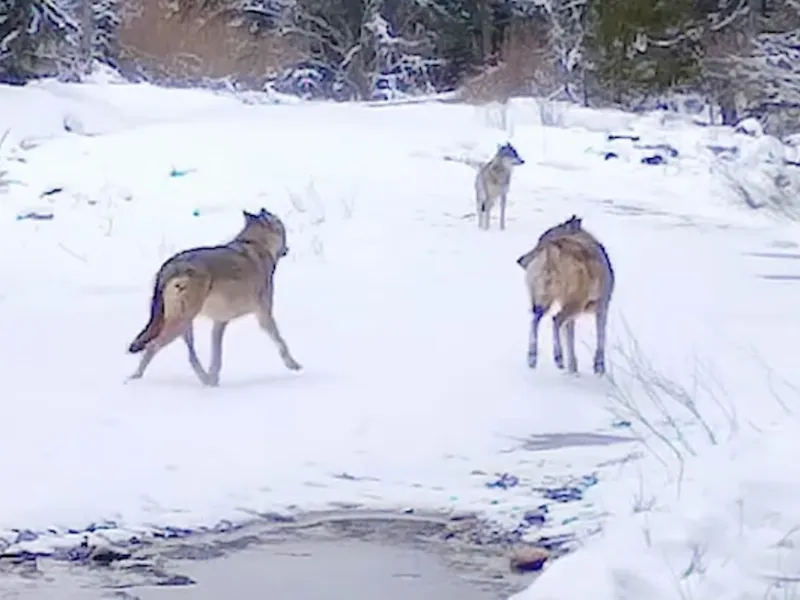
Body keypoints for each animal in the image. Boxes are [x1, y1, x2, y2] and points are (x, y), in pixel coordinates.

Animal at [128, 209, 304, 386]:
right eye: (282, 226)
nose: (287, 248)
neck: (254, 244)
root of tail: (173, 265)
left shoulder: (219, 322)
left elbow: (216, 357)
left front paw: (214, 379)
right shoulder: (263, 314)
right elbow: (280, 341)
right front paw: (293, 365)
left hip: (185, 325)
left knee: (190, 355)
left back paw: (206, 380)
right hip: (180, 323)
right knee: (153, 346)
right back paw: (134, 379)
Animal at [516, 214, 616, 376]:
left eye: (539, 241)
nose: (519, 260)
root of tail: (551, 249)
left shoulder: (573, 317)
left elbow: (570, 340)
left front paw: (573, 370)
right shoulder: (603, 307)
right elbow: (601, 337)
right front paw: (599, 368)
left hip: (543, 301)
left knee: (535, 320)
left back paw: (532, 358)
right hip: (574, 303)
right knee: (555, 319)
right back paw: (558, 358)